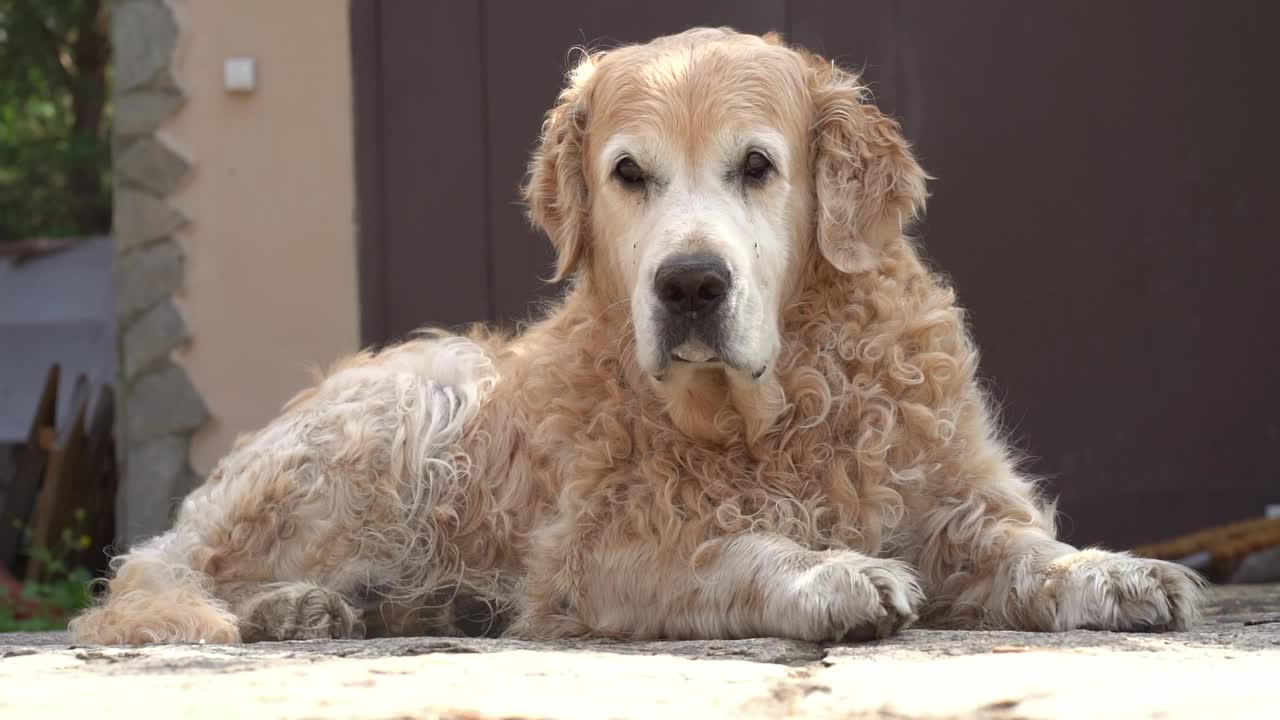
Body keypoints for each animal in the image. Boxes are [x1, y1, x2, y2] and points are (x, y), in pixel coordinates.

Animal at [74, 29, 1203, 645]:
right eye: (628, 173)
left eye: (757, 166)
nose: (690, 283)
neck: (781, 408)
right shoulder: (603, 551)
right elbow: (735, 548)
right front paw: (829, 574)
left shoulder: (955, 503)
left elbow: (1030, 550)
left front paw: (1113, 572)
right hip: (409, 406)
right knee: (165, 573)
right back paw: (299, 607)